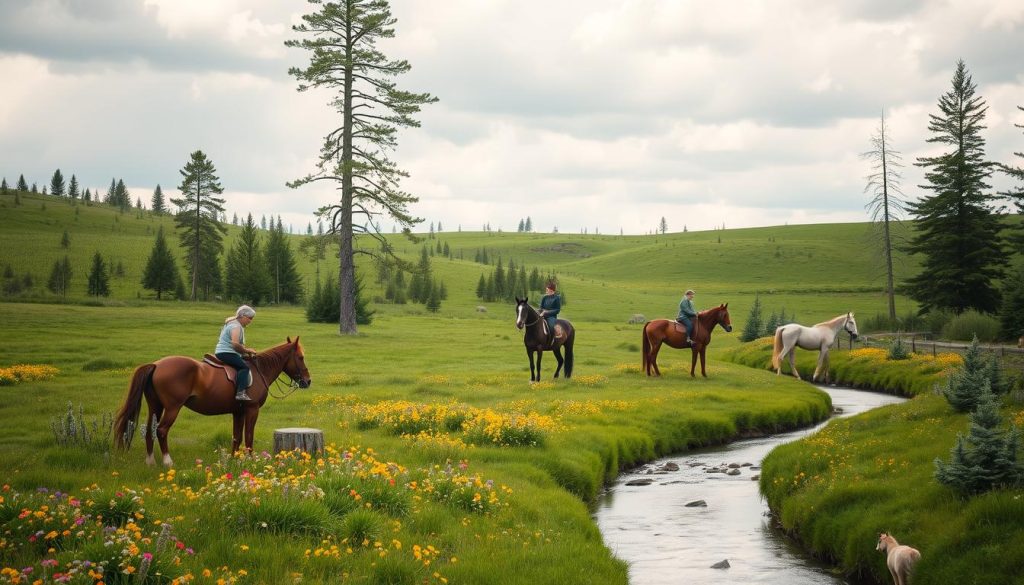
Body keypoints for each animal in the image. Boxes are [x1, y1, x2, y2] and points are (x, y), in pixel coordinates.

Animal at [112, 338, 309, 467]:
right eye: (300, 357)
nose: (308, 381)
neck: (258, 370)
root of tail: (156, 365)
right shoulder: (252, 410)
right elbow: (249, 436)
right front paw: (250, 460)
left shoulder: (238, 412)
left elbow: (236, 436)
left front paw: (234, 459)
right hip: (172, 407)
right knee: (161, 430)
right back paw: (168, 461)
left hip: (155, 406)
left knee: (149, 430)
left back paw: (150, 461)